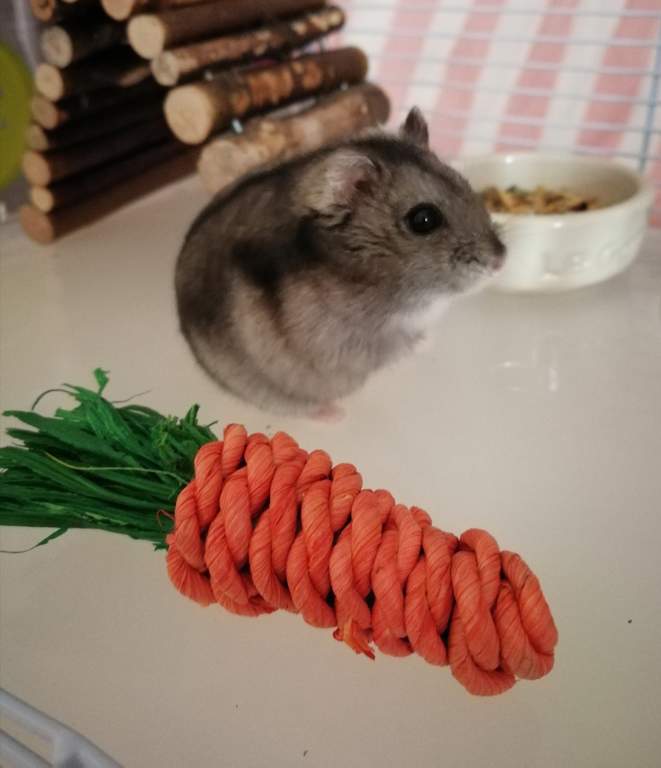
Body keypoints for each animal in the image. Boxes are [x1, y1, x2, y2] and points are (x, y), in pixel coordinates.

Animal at [175, 107, 505, 416]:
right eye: (423, 219)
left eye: (466, 184)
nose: (501, 260)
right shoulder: (362, 346)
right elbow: (400, 344)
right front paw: (429, 342)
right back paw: (332, 414)